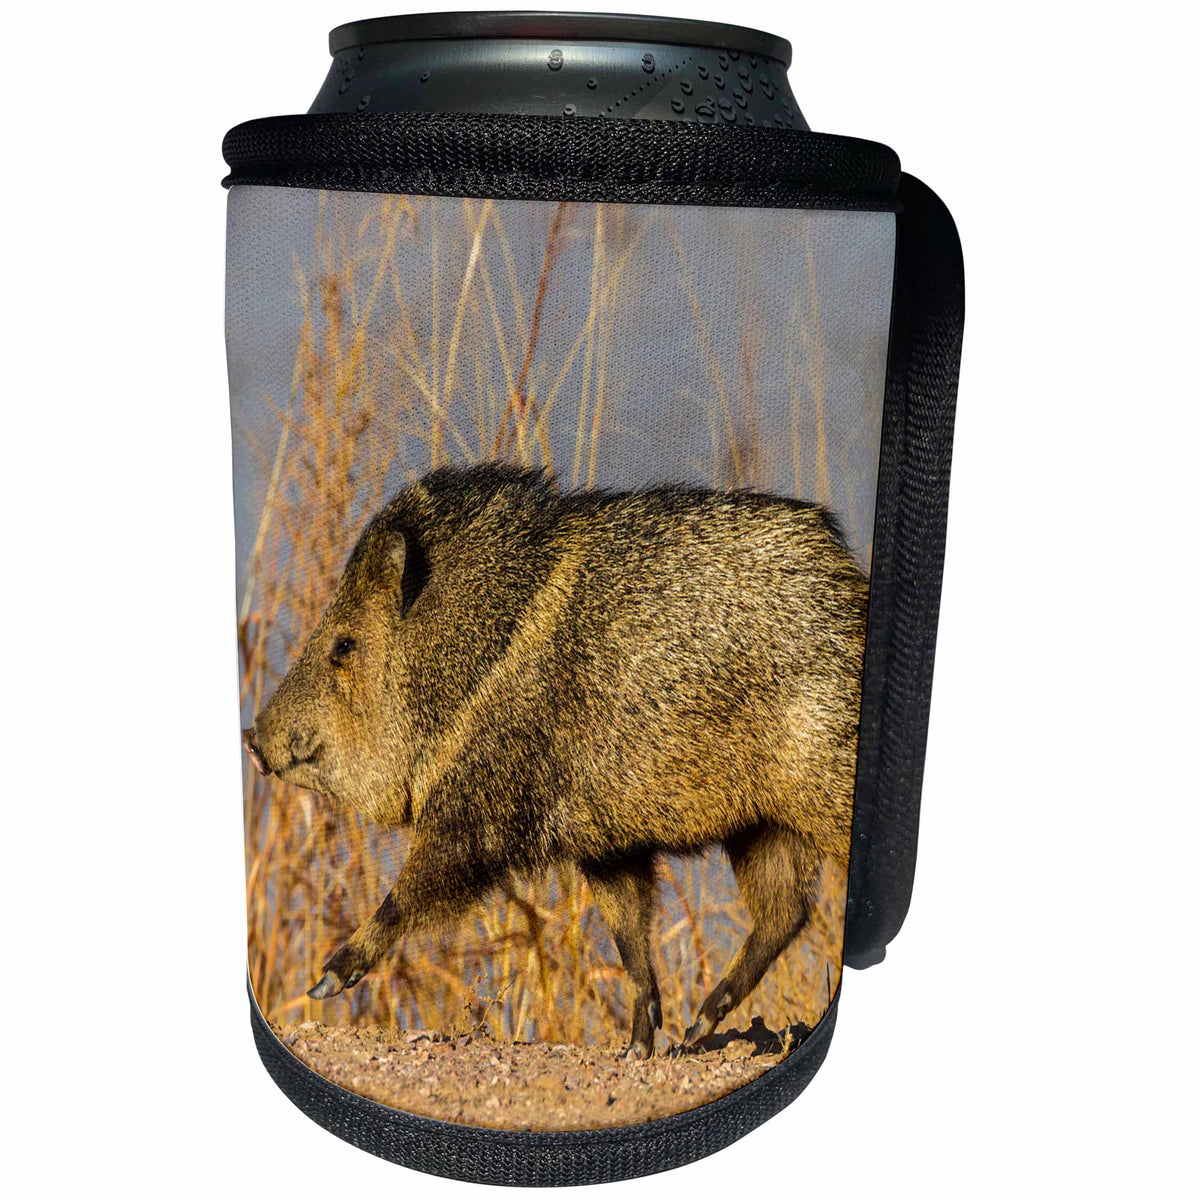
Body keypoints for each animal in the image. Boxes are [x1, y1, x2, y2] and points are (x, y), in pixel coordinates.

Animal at [243, 464, 867, 1058]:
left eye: (344, 645)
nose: (252, 738)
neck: (473, 664)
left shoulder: (478, 816)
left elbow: (409, 897)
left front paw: (326, 980)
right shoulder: (605, 844)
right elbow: (629, 938)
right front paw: (639, 1046)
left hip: (820, 787)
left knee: (795, 904)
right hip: (764, 824)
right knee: (785, 913)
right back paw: (699, 1026)